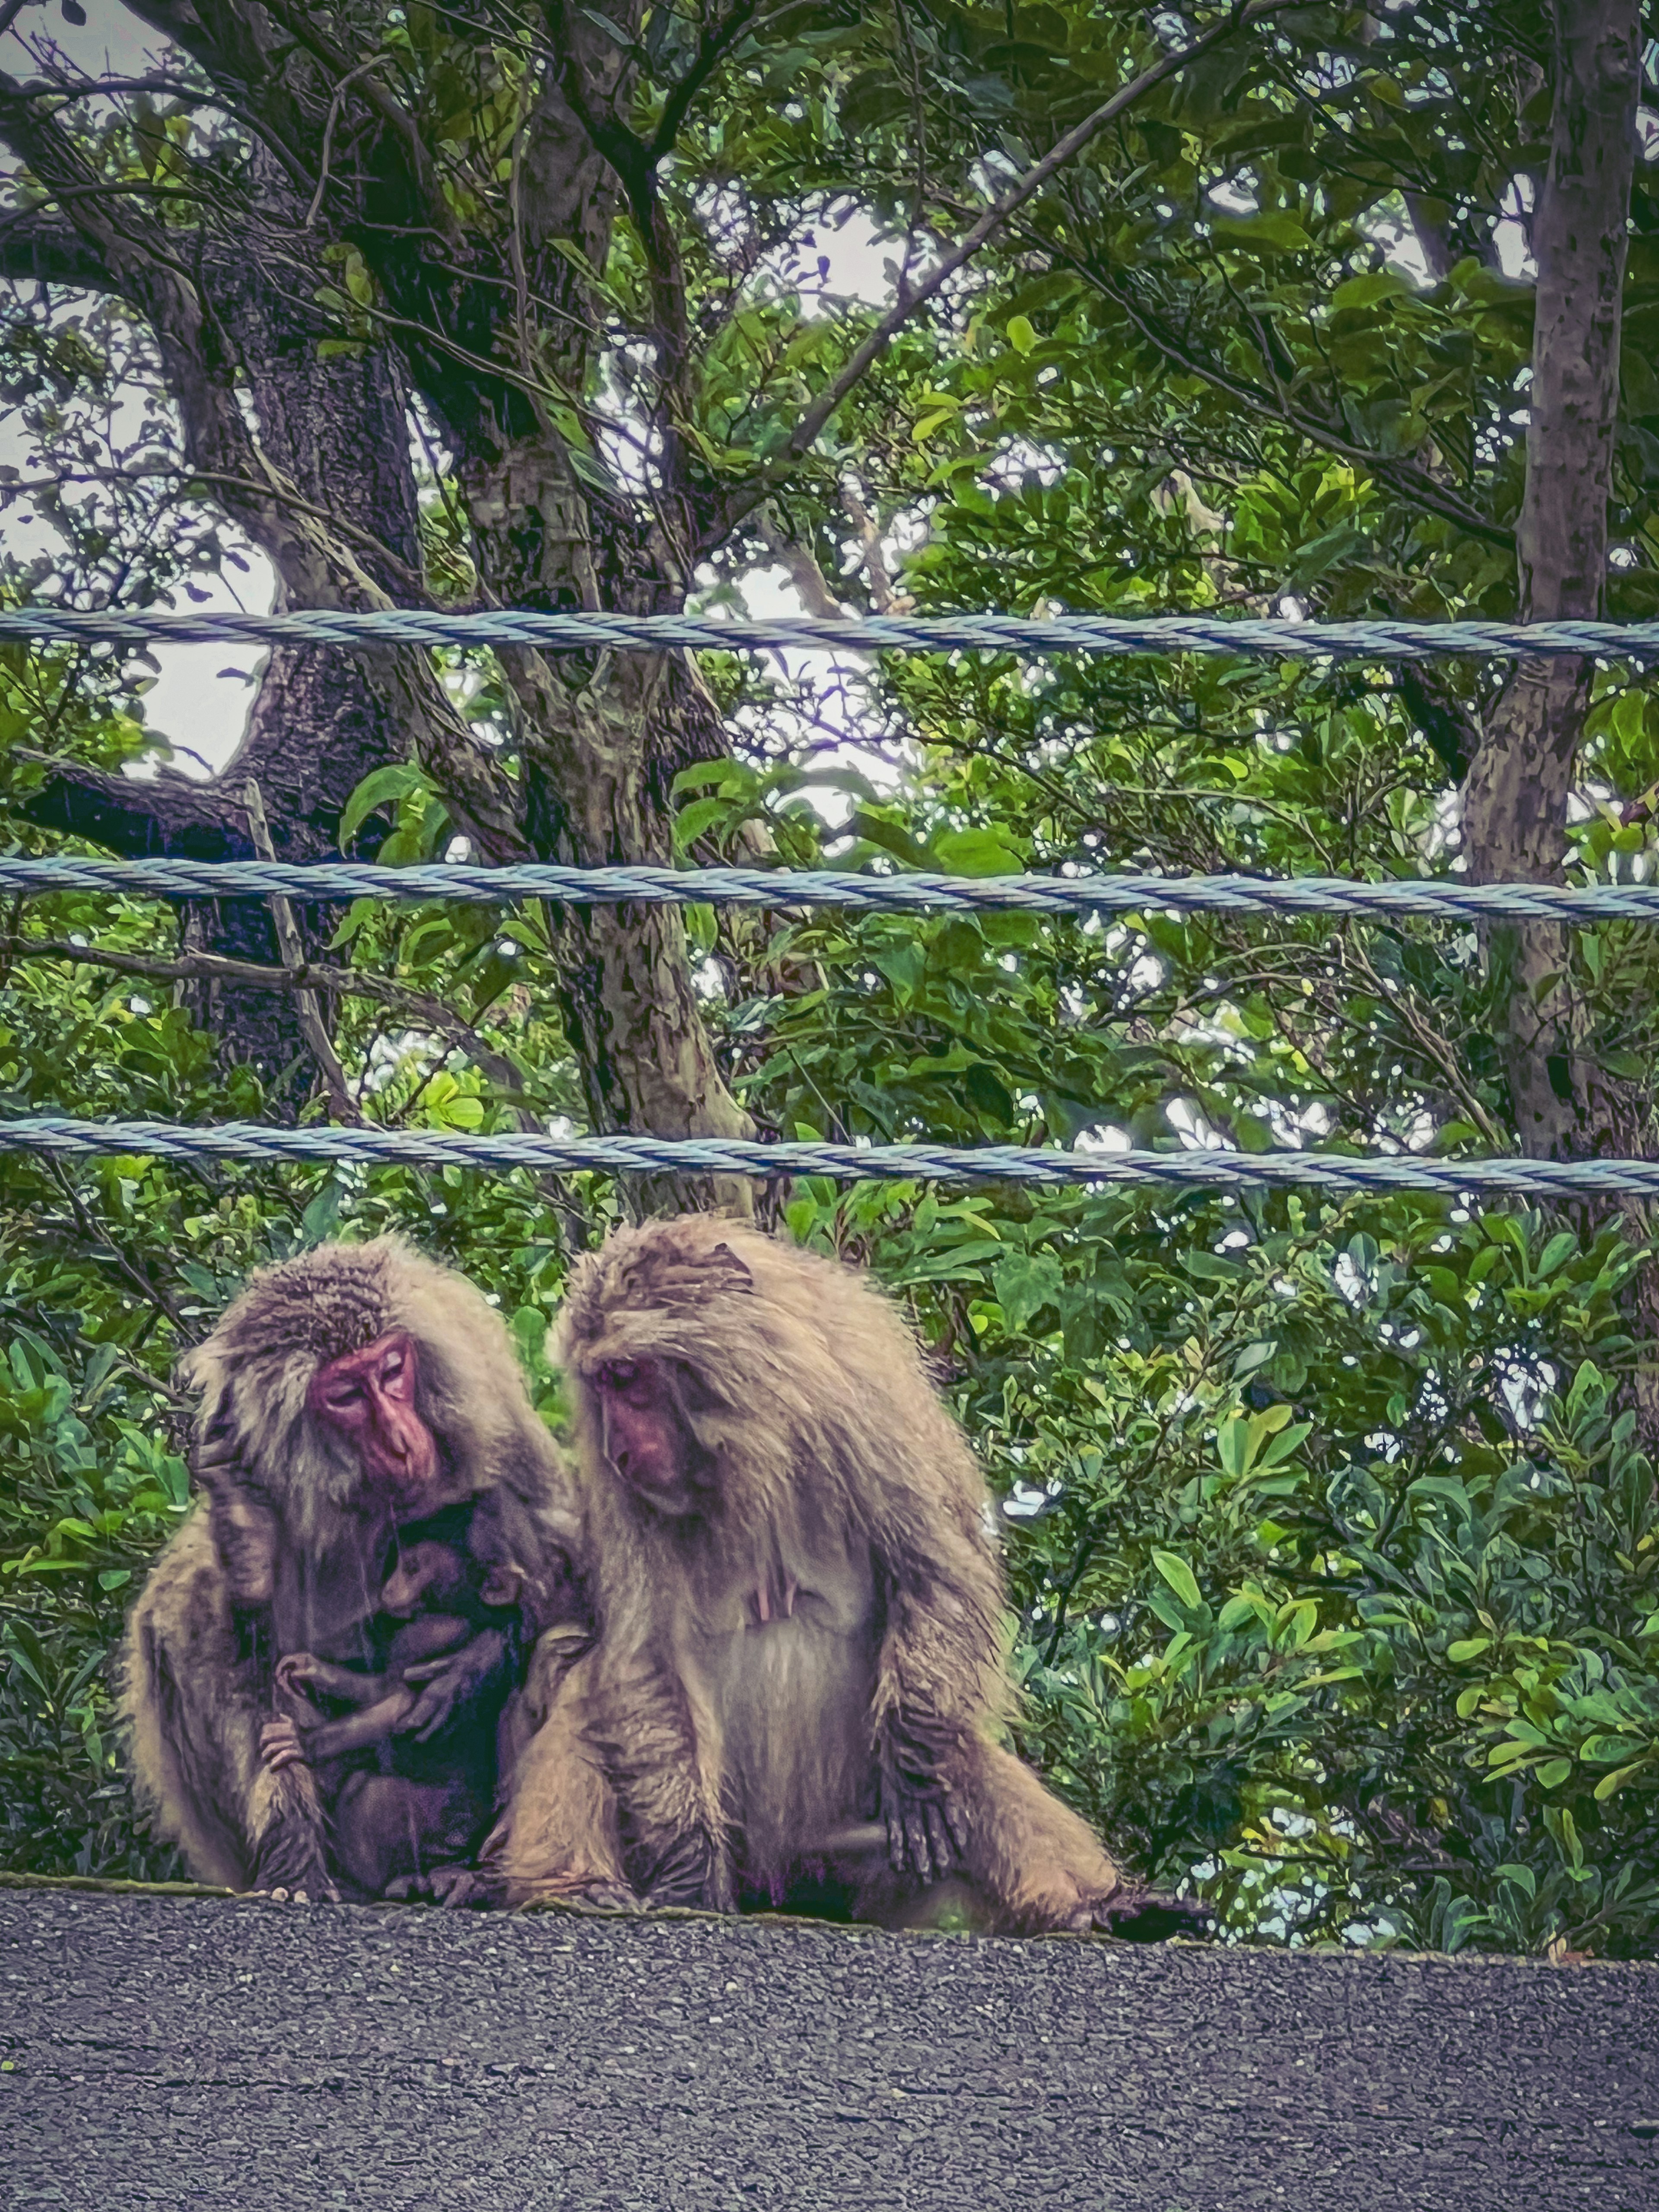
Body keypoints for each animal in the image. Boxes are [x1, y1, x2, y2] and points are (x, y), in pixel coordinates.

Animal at [261, 1504, 526, 1902]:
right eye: (399, 1563)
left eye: (413, 1568)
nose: (389, 1586)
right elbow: (383, 1688)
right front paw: (312, 1669)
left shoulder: (430, 1632)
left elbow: (399, 1705)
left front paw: (304, 1741)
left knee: (369, 1792)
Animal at [548, 1221, 1212, 1946]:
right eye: (598, 1385)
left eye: (626, 1376)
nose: (617, 1450)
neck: (750, 1448)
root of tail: (789, 1891)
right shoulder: (620, 1499)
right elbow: (646, 1658)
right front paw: (688, 1871)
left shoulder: (867, 1404)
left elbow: (936, 1576)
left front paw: (916, 1772)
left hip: (857, 1865)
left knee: (960, 1751)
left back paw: (1099, 1905)